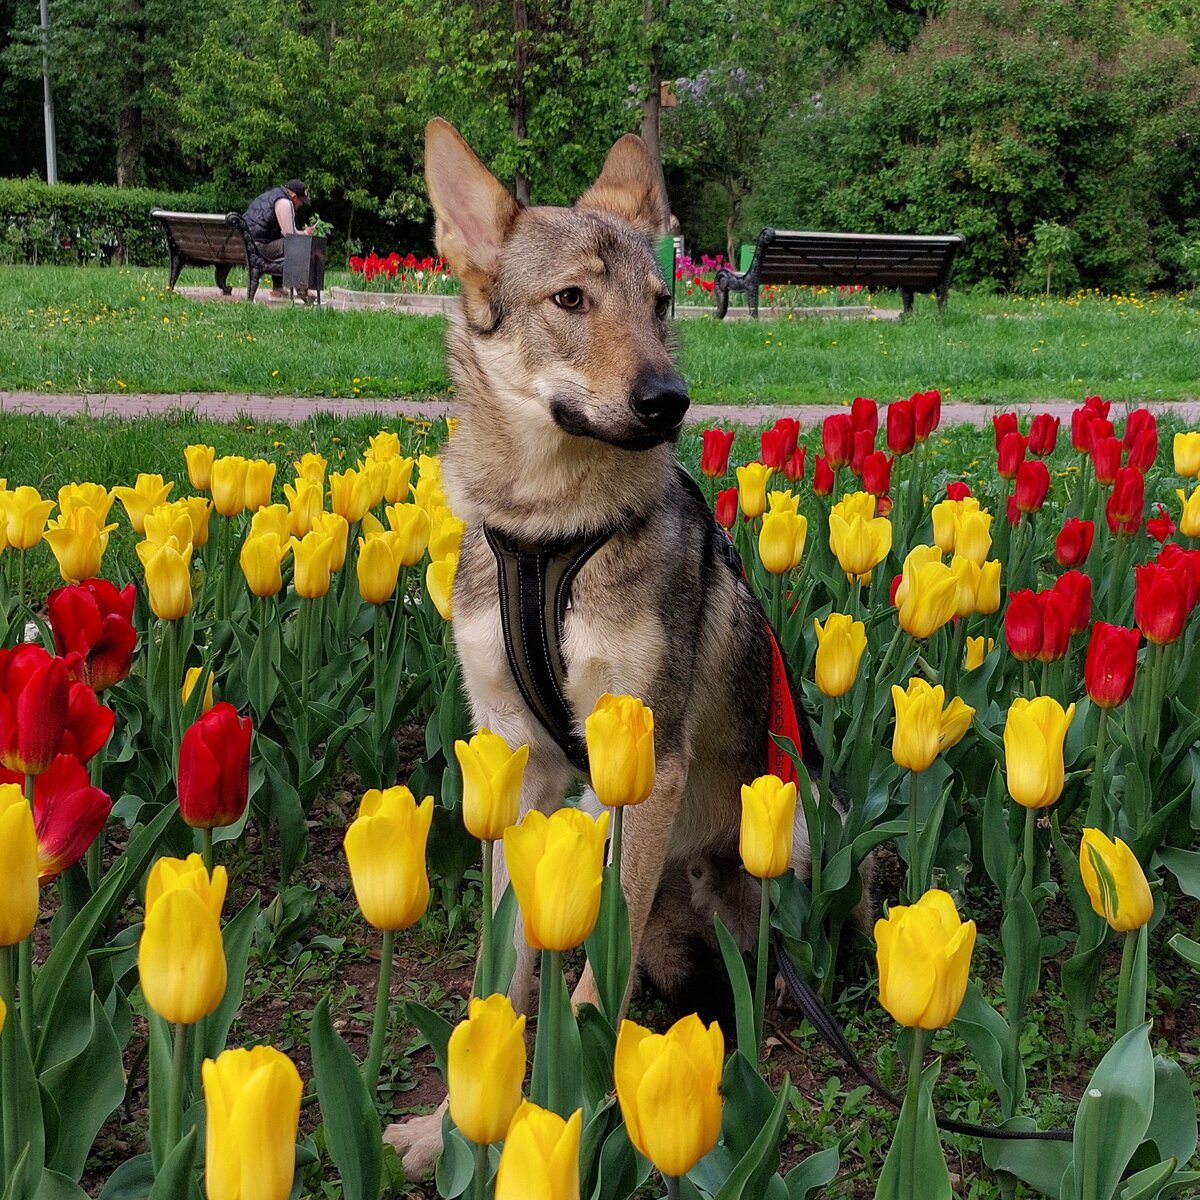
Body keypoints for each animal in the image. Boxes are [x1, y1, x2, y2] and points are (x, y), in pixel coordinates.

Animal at [384, 119, 844, 1180]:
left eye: (662, 304)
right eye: (571, 300)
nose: (670, 399)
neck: (548, 533)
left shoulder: (648, 762)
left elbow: (599, 972)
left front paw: (579, 1104)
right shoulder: (513, 761)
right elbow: (498, 973)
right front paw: (450, 1124)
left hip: (782, 826)